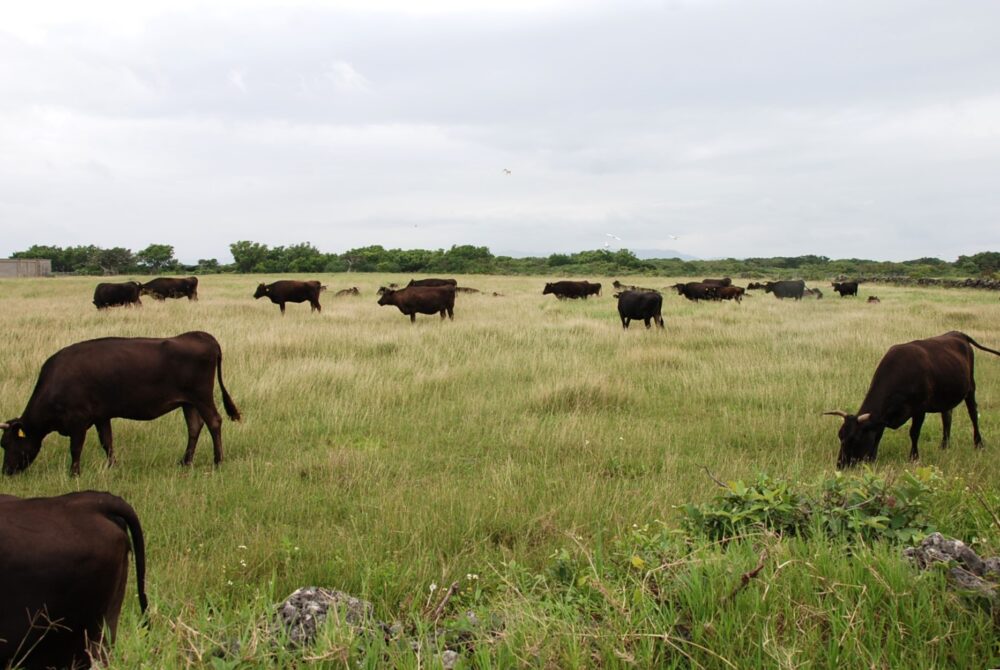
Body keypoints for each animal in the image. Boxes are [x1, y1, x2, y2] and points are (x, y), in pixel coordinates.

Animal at [0, 330, 242, 478]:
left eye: (8, 443)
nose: (6, 472)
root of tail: (201, 336)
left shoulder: (78, 421)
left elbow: (76, 448)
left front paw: (74, 474)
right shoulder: (101, 416)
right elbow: (107, 442)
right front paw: (112, 466)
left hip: (202, 397)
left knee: (214, 422)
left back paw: (218, 461)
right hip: (188, 402)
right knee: (194, 427)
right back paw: (185, 461)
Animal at [824, 334, 996, 470]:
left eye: (855, 439)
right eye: (840, 436)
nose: (840, 465)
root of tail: (958, 334)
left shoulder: (919, 409)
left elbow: (914, 433)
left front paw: (914, 458)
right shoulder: (882, 418)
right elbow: (878, 434)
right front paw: (873, 458)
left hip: (971, 388)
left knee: (973, 414)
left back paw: (979, 444)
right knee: (947, 417)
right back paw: (944, 446)